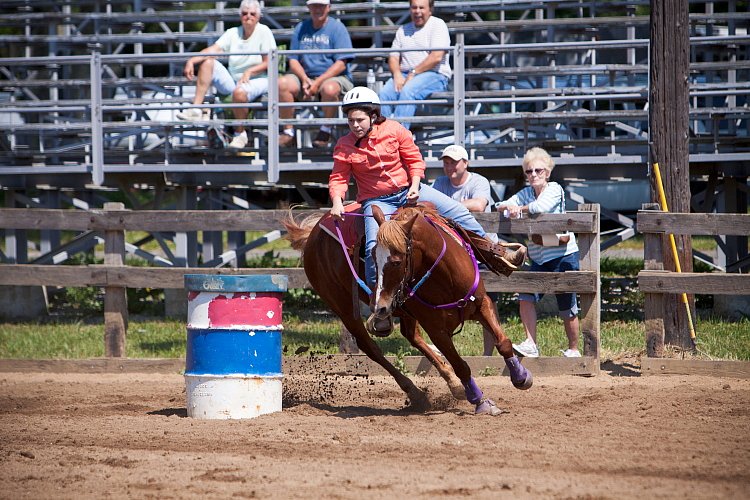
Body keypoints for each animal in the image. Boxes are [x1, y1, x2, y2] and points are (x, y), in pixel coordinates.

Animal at [284, 204, 536, 414]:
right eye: (372, 257)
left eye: (396, 261)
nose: (380, 305)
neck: (445, 276)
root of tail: (314, 232)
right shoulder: (435, 328)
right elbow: (461, 365)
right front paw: (480, 401)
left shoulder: (482, 304)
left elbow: (503, 342)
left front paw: (521, 377)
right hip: (344, 309)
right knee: (371, 348)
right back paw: (416, 393)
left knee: (411, 335)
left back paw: (452, 383)